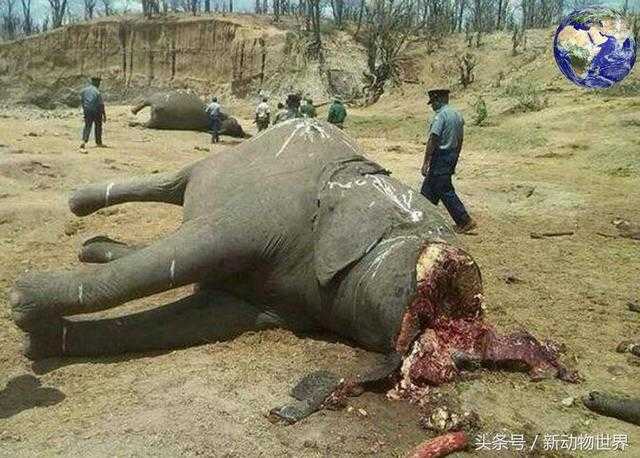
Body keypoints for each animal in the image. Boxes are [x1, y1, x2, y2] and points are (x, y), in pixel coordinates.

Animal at [9, 118, 577, 421]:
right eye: (423, 230)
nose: (465, 357)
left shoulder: (287, 303)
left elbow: (197, 317)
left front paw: (42, 339)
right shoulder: (275, 215)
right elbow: (188, 251)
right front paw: (23, 301)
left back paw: (95, 246)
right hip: (219, 162)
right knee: (174, 183)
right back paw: (80, 207)